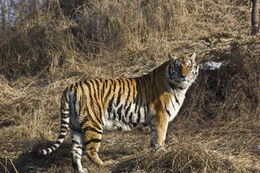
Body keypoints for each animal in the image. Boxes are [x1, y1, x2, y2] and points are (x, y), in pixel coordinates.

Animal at [37, 53, 199, 173]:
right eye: (177, 67)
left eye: (188, 66)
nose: (184, 76)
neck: (179, 87)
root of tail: (70, 86)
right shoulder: (161, 117)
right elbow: (160, 137)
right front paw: (162, 152)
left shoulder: (155, 119)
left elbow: (154, 138)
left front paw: (155, 152)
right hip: (93, 123)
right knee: (90, 150)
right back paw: (105, 165)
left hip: (75, 126)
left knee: (75, 151)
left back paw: (81, 170)